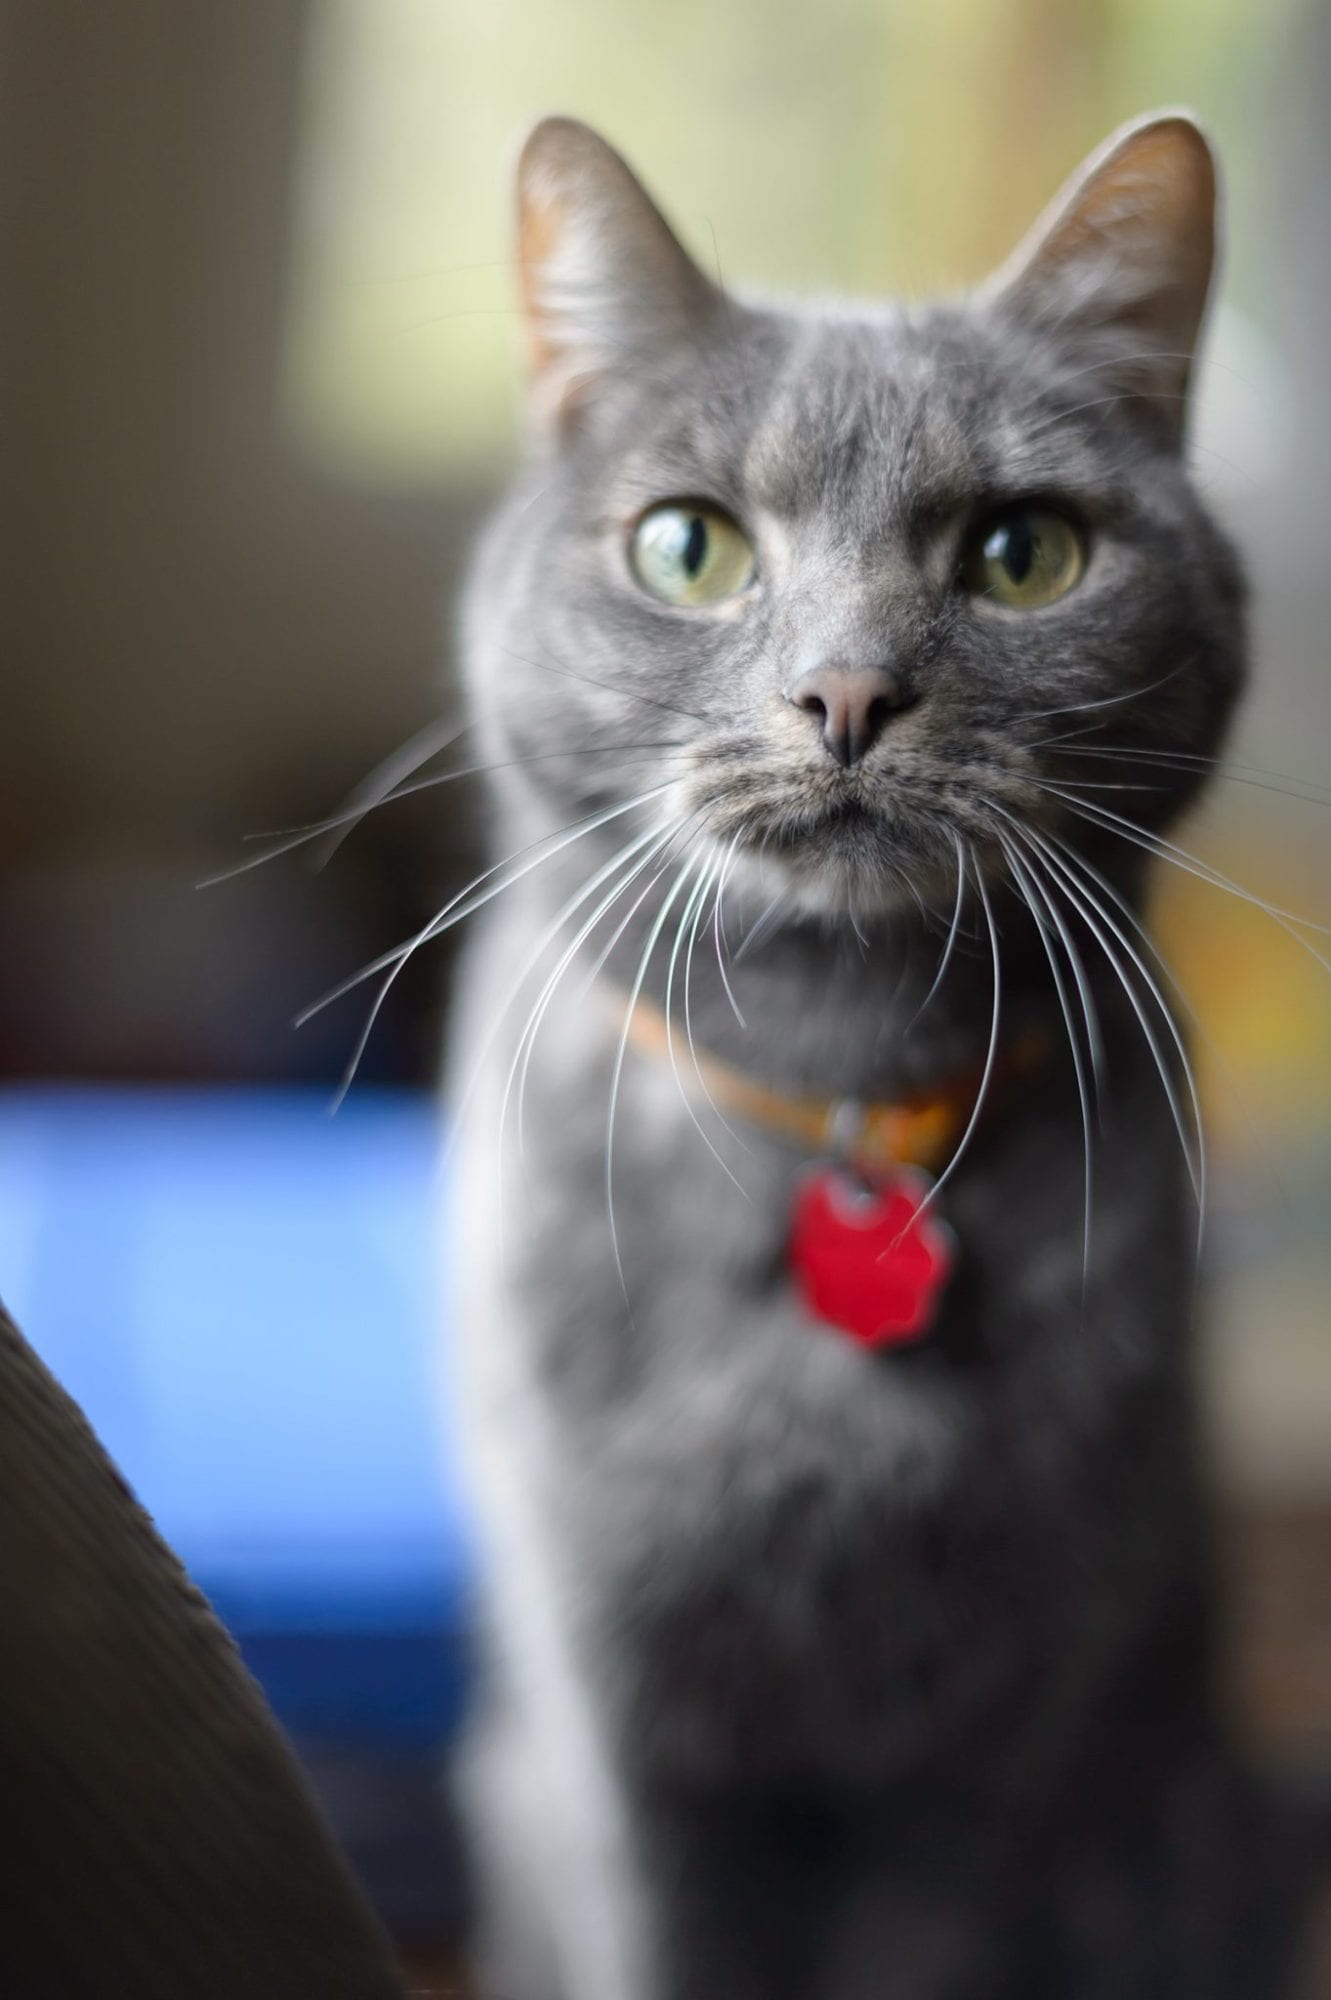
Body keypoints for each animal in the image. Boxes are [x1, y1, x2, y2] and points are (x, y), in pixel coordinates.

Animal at [443, 113, 1303, 2000]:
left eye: (1022, 553)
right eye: (686, 549)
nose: (844, 693)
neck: (838, 1085)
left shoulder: (1000, 1741)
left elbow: (933, 1940)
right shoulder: (620, 1727)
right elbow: (667, 1940)